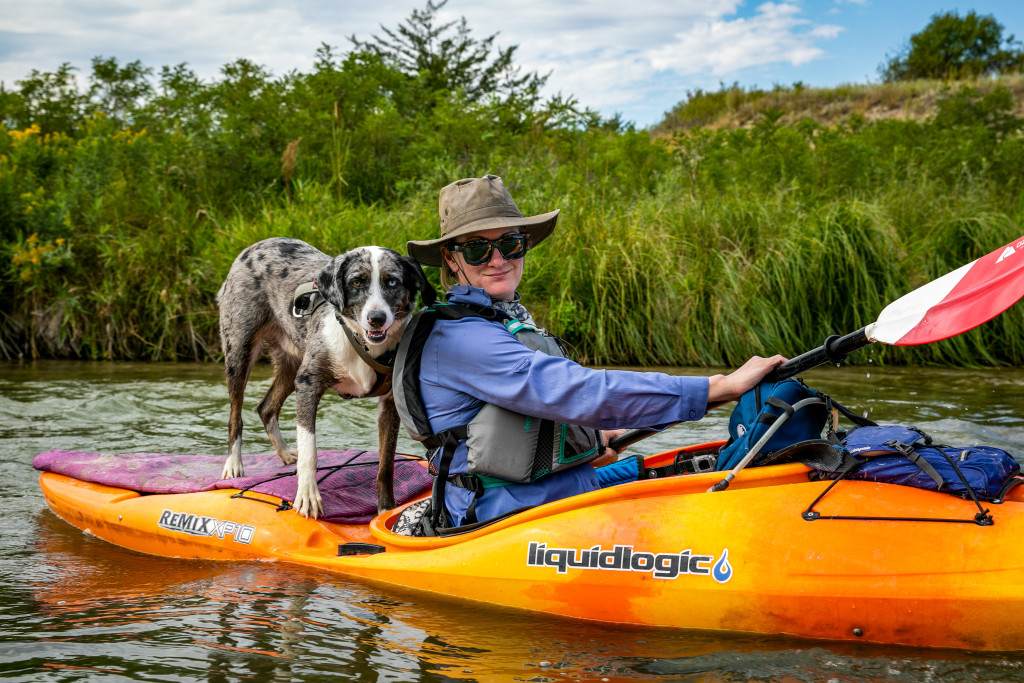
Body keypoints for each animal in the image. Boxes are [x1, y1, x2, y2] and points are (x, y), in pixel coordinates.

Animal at [218, 236, 434, 518]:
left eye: (392, 282)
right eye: (356, 282)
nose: (376, 319)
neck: (362, 343)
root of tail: (257, 245)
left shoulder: (389, 403)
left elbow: (386, 463)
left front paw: (386, 509)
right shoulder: (308, 383)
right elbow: (309, 448)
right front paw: (307, 496)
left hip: (291, 364)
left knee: (266, 407)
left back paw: (286, 454)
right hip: (239, 351)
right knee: (235, 415)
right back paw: (234, 464)